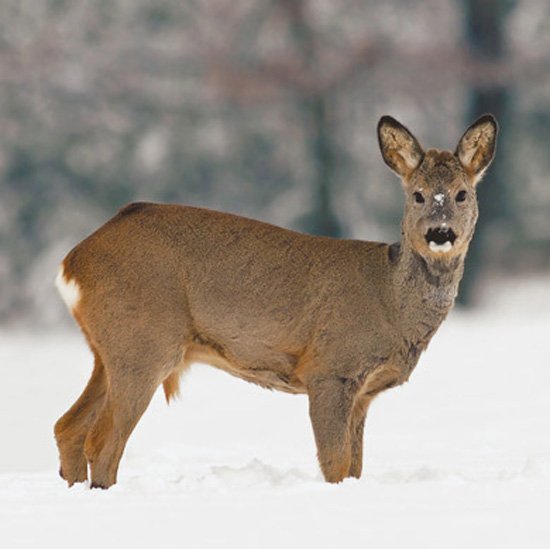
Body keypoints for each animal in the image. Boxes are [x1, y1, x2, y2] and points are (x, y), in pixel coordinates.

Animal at [55, 113, 500, 486]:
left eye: (461, 194)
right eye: (418, 195)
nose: (440, 233)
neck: (390, 300)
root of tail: (73, 262)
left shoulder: (364, 393)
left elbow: (355, 468)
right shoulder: (330, 368)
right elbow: (335, 464)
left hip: (110, 349)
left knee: (68, 427)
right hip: (145, 342)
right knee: (102, 442)